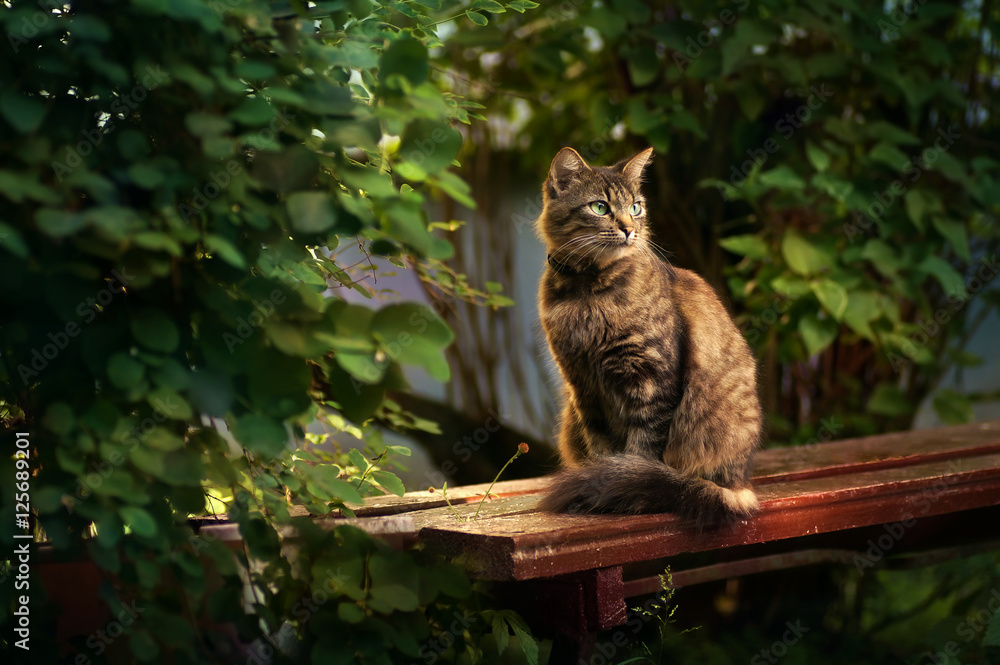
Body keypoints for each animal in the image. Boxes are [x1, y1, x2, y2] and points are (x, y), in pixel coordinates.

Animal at [536, 148, 760, 528]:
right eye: (600, 207)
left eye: (636, 207)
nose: (629, 229)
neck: (587, 291)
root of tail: (740, 483)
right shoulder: (583, 387)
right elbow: (601, 448)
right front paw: (600, 481)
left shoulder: (652, 380)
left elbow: (641, 452)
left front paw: (623, 487)